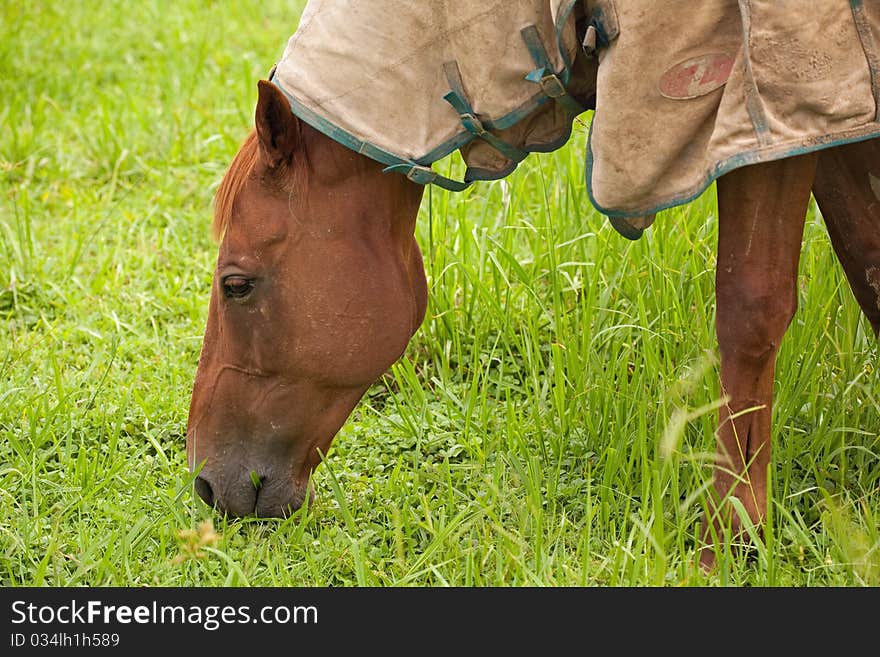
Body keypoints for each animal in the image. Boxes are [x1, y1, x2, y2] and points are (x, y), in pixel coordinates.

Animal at [187, 86, 880, 568]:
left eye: (236, 285)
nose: (204, 485)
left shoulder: (770, 127)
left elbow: (751, 307)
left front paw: (728, 539)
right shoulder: (824, 122)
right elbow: (865, 255)